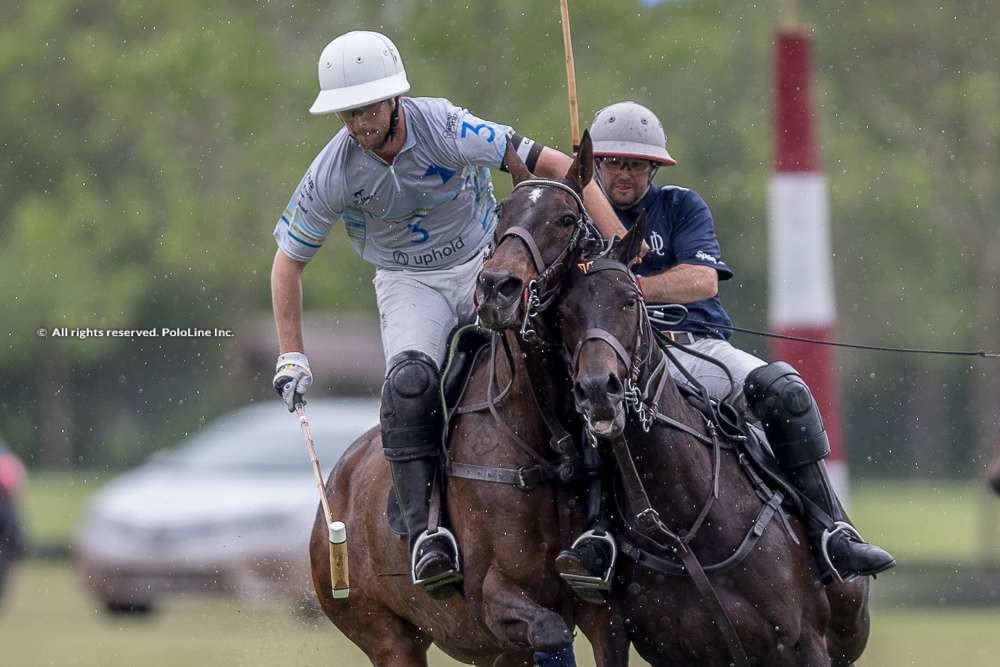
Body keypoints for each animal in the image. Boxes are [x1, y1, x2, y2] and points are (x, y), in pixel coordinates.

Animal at [308, 140, 624, 664]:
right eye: (502, 213)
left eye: (565, 219)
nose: (497, 287)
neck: (546, 435)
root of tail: (333, 487)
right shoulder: (492, 598)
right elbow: (552, 631)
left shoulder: (602, 607)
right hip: (382, 632)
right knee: (411, 379)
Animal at [556, 226, 876, 667]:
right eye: (563, 313)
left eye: (629, 300)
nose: (598, 390)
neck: (679, 528)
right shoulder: (644, 643)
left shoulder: (805, 642)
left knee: (783, 388)